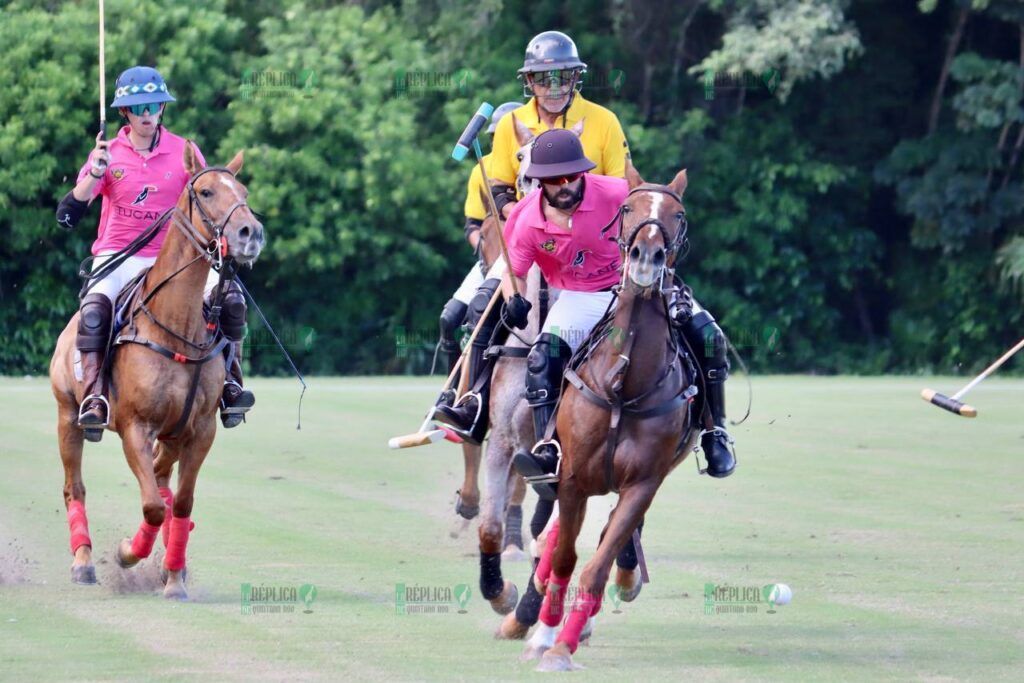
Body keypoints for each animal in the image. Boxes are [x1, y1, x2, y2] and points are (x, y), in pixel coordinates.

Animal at [520, 167, 704, 671]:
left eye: (679, 214)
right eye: (627, 209)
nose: (647, 258)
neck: (624, 384)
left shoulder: (643, 482)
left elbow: (596, 566)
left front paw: (563, 646)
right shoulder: (574, 477)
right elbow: (566, 558)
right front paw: (545, 634)